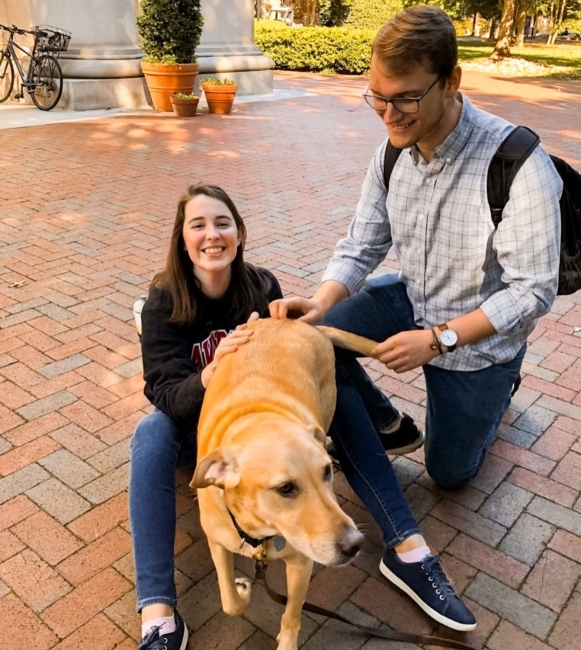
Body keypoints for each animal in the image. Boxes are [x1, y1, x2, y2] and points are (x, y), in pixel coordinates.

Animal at [193, 316, 376, 644]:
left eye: (327, 472)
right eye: (285, 488)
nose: (355, 544)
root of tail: (296, 321)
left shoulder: (302, 563)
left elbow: (292, 616)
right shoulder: (217, 541)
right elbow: (229, 602)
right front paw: (241, 590)